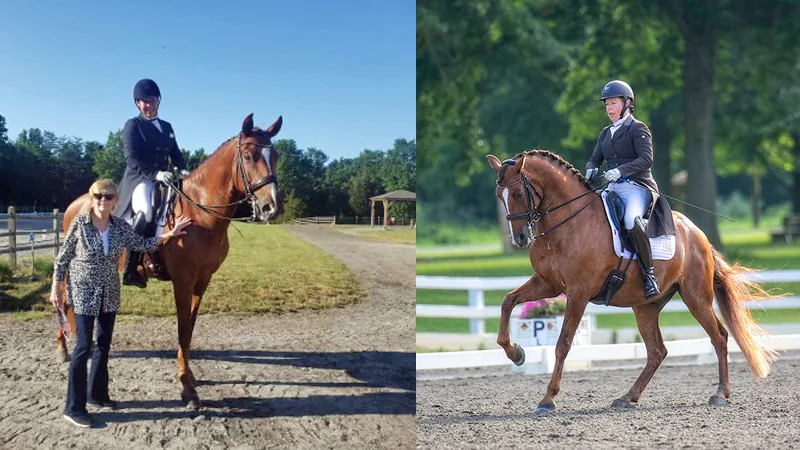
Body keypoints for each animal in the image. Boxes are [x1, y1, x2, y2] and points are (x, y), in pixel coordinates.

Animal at [55, 113, 284, 409]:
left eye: (274, 155)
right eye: (248, 156)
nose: (272, 208)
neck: (199, 213)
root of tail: (75, 203)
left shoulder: (202, 281)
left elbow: (190, 328)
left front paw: (190, 378)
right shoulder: (183, 281)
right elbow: (183, 327)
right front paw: (187, 388)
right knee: (63, 298)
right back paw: (62, 348)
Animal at [486, 150, 779, 412]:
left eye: (518, 194)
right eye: (499, 196)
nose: (520, 239)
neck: (565, 224)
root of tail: (699, 234)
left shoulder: (578, 293)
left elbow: (563, 343)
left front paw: (548, 399)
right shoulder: (548, 284)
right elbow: (508, 301)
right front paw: (516, 353)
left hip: (696, 297)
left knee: (718, 336)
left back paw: (720, 393)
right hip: (646, 306)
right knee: (657, 351)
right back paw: (628, 397)